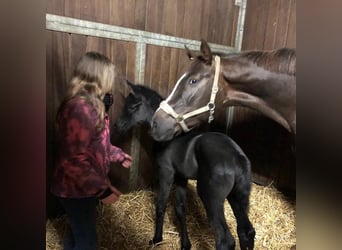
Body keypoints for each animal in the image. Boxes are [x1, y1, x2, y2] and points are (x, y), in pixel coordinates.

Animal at [116, 81, 255, 249]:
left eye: (133, 107)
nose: (118, 126)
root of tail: (238, 158)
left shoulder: (166, 172)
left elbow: (161, 204)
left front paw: (157, 239)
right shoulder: (181, 177)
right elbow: (180, 209)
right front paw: (185, 244)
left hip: (211, 199)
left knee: (225, 240)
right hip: (237, 196)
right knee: (246, 232)